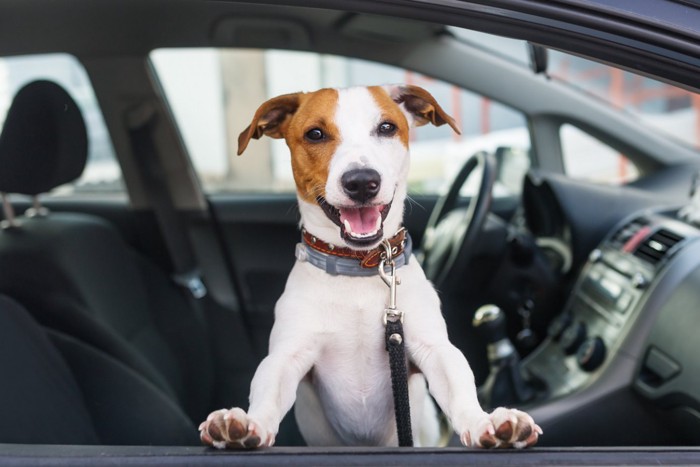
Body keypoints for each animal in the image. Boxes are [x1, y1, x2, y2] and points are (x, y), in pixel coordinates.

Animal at [197, 84, 540, 450]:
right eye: (315, 134)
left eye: (387, 127)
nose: (361, 181)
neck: (358, 268)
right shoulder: (287, 356)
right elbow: (267, 391)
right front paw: (247, 424)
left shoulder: (432, 348)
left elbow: (459, 385)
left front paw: (485, 422)